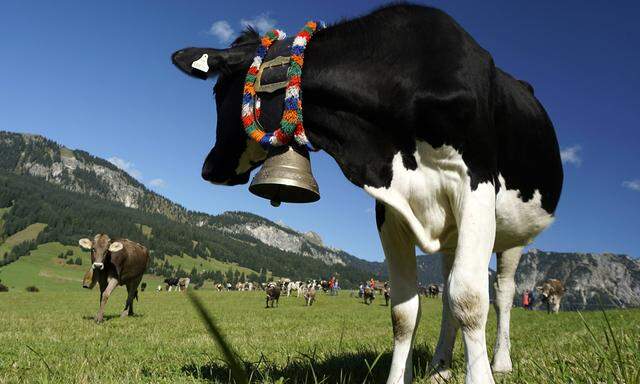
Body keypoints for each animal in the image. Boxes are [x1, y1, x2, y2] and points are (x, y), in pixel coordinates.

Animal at [172, 4, 564, 382]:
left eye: (218, 92)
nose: (209, 168)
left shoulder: (476, 183)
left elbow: (469, 299)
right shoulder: (389, 207)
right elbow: (405, 312)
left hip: (511, 236)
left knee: (503, 293)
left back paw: (501, 361)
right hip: (452, 237)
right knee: (448, 294)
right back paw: (440, 366)